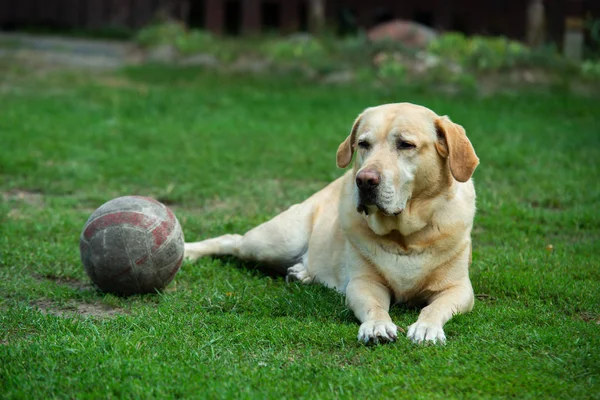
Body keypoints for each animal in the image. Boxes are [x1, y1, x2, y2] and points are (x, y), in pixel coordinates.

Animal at [185, 103, 480, 344]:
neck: (404, 236)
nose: (364, 180)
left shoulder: (459, 289)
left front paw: (427, 328)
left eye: (405, 144)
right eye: (363, 144)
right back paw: (189, 251)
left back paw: (302, 273)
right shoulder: (363, 283)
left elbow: (434, 307)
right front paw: (376, 326)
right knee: (231, 240)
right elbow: (374, 306)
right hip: (274, 242)